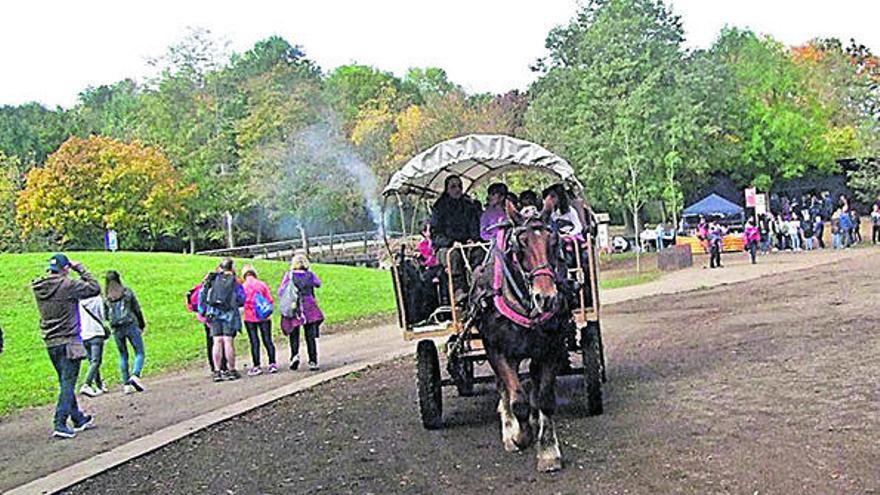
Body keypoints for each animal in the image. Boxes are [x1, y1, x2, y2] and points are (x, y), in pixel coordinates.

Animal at [470, 201, 568, 472]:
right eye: (520, 245)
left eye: (553, 241)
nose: (546, 298)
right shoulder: (497, 350)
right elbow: (517, 401)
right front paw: (519, 435)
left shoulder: (551, 347)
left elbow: (545, 399)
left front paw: (548, 450)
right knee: (505, 388)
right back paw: (510, 426)